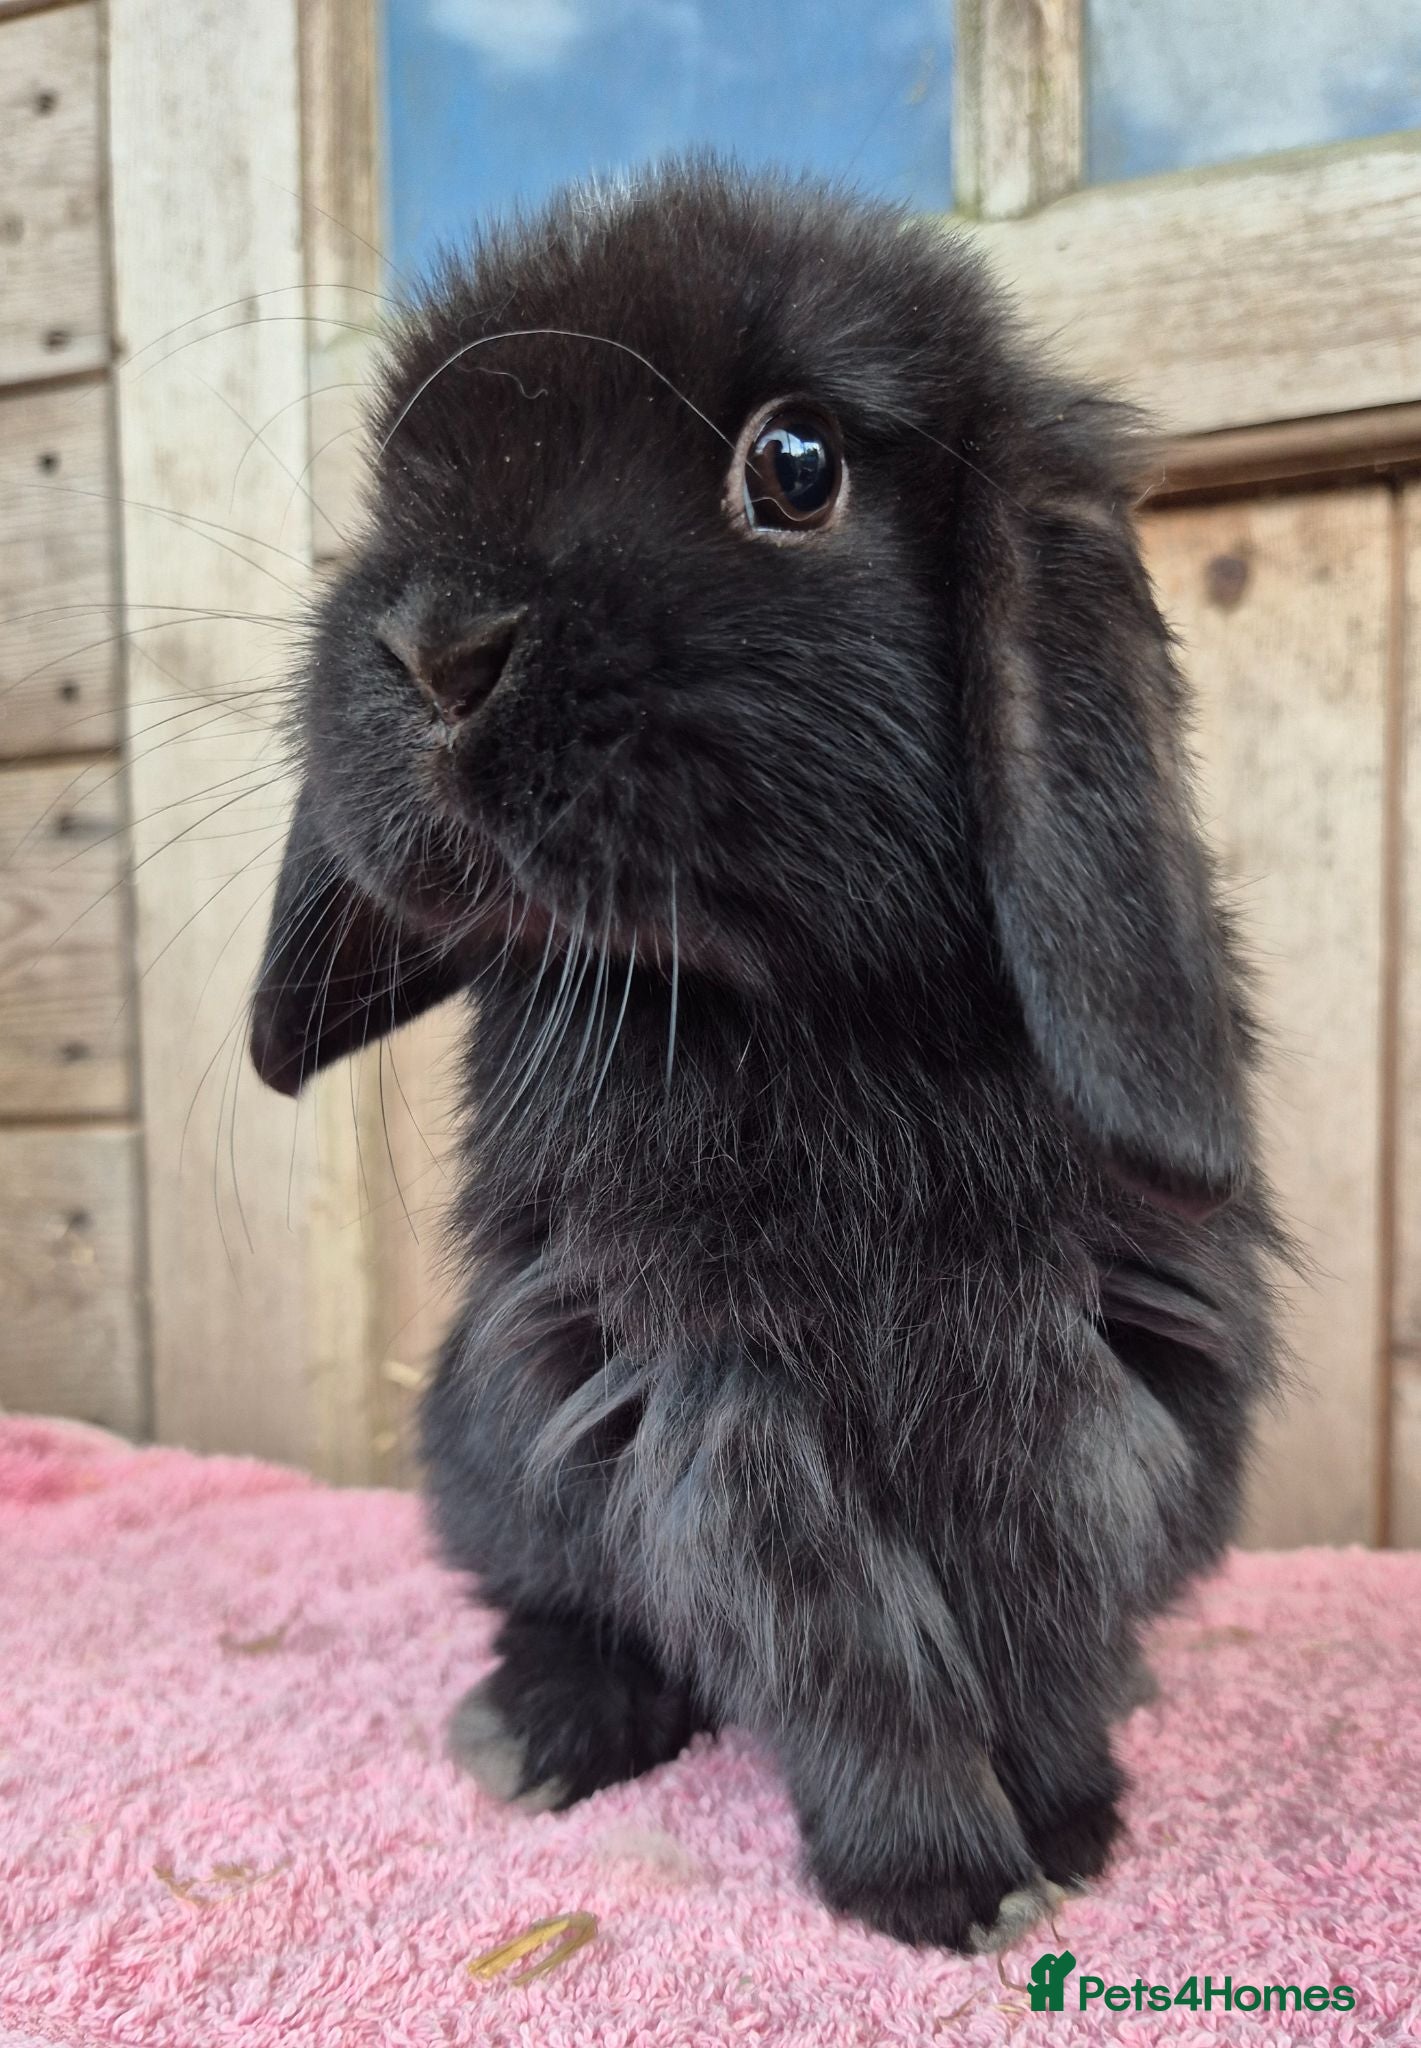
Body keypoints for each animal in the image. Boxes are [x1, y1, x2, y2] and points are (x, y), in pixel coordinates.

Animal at [249, 159, 1284, 1955]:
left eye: (794, 465)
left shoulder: (1065, 1361)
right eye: (394, 483)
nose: (441, 647)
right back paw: (535, 1729)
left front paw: (1060, 1826)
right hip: (495, 1449)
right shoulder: (708, 1384)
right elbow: (829, 1624)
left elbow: (1039, 1603)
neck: (793, 1002)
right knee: (566, 1601)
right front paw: (931, 1877)